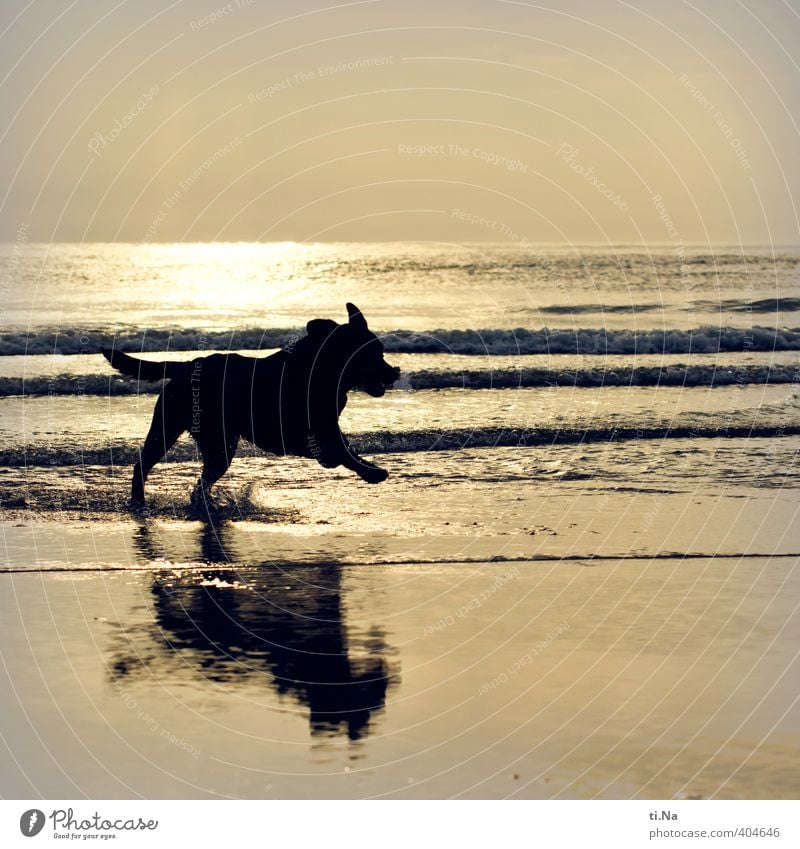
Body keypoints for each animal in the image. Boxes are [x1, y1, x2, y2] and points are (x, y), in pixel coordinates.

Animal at [103, 304, 396, 506]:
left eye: (380, 351)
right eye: (369, 354)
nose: (394, 372)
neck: (324, 370)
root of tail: (186, 366)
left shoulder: (322, 427)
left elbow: (343, 447)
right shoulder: (304, 429)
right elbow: (341, 450)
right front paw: (370, 472)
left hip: (218, 444)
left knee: (201, 482)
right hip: (168, 428)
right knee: (142, 467)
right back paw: (140, 502)